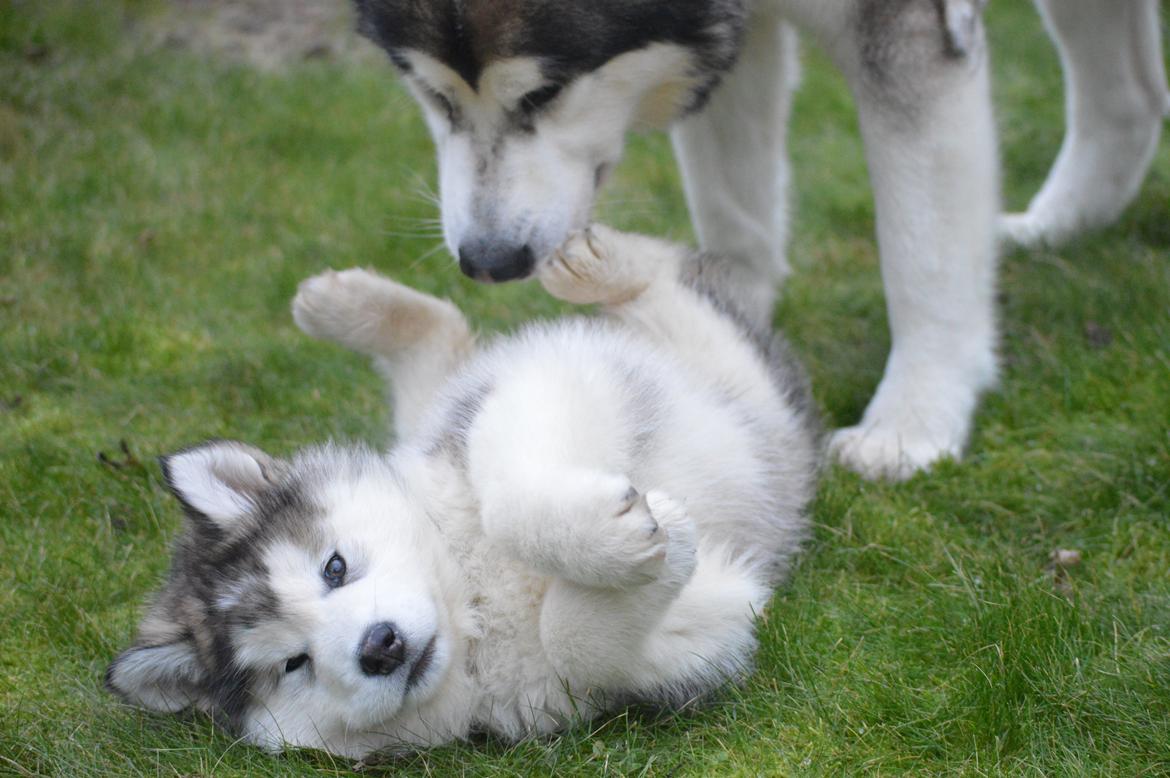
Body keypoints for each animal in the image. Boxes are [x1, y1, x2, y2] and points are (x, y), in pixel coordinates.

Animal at [111, 225, 823, 758]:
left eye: (333, 569)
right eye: (293, 664)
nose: (380, 647)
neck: (473, 599)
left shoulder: (538, 387)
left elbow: (509, 500)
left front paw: (610, 539)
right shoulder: (683, 642)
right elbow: (580, 639)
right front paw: (660, 544)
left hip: (704, 363)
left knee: (663, 287)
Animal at [351, 0, 1165, 479]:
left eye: (547, 92)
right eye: (431, 93)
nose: (488, 262)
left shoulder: (907, 26)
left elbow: (923, 255)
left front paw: (914, 420)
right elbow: (734, 215)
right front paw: (721, 341)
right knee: (1130, 99)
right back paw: (1062, 223)